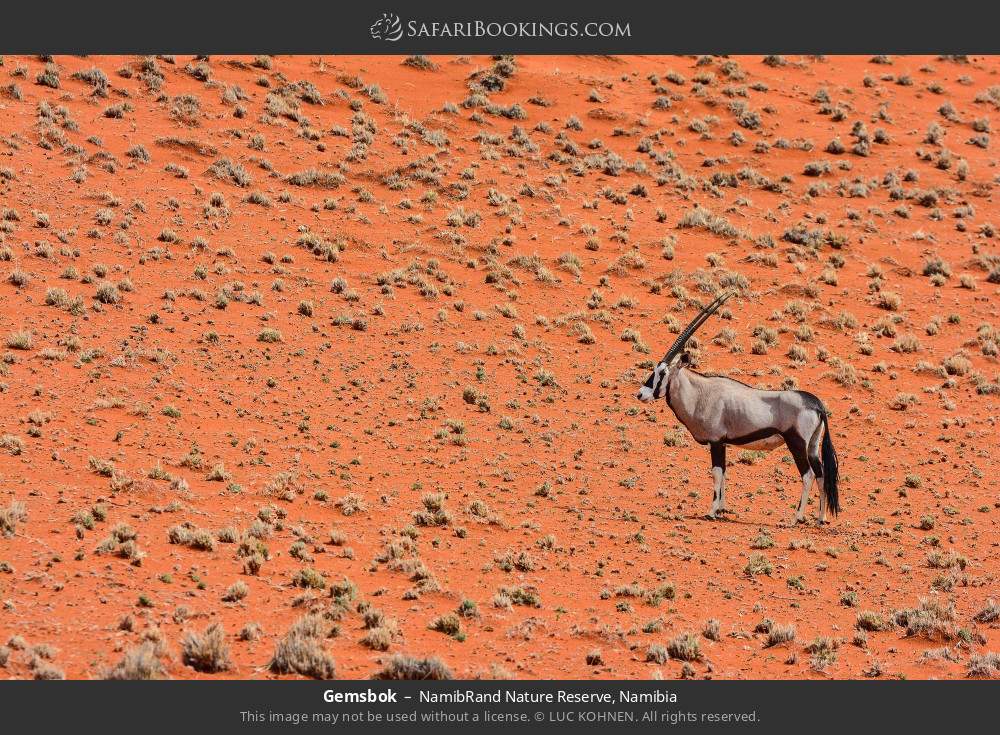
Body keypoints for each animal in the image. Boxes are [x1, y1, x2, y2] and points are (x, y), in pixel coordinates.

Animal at [640, 290, 836, 528]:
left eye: (662, 373)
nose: (640, 394)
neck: (700, 393)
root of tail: (816, 403)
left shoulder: (716, 441)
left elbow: (716, 473)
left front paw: (712, 511)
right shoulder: (723, 443)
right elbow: (724, 472)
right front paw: (722, 509)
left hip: (796, 444)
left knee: (808, 475)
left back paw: (795, 518)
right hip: (813, 446)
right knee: (821, 474)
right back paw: (820, 518)